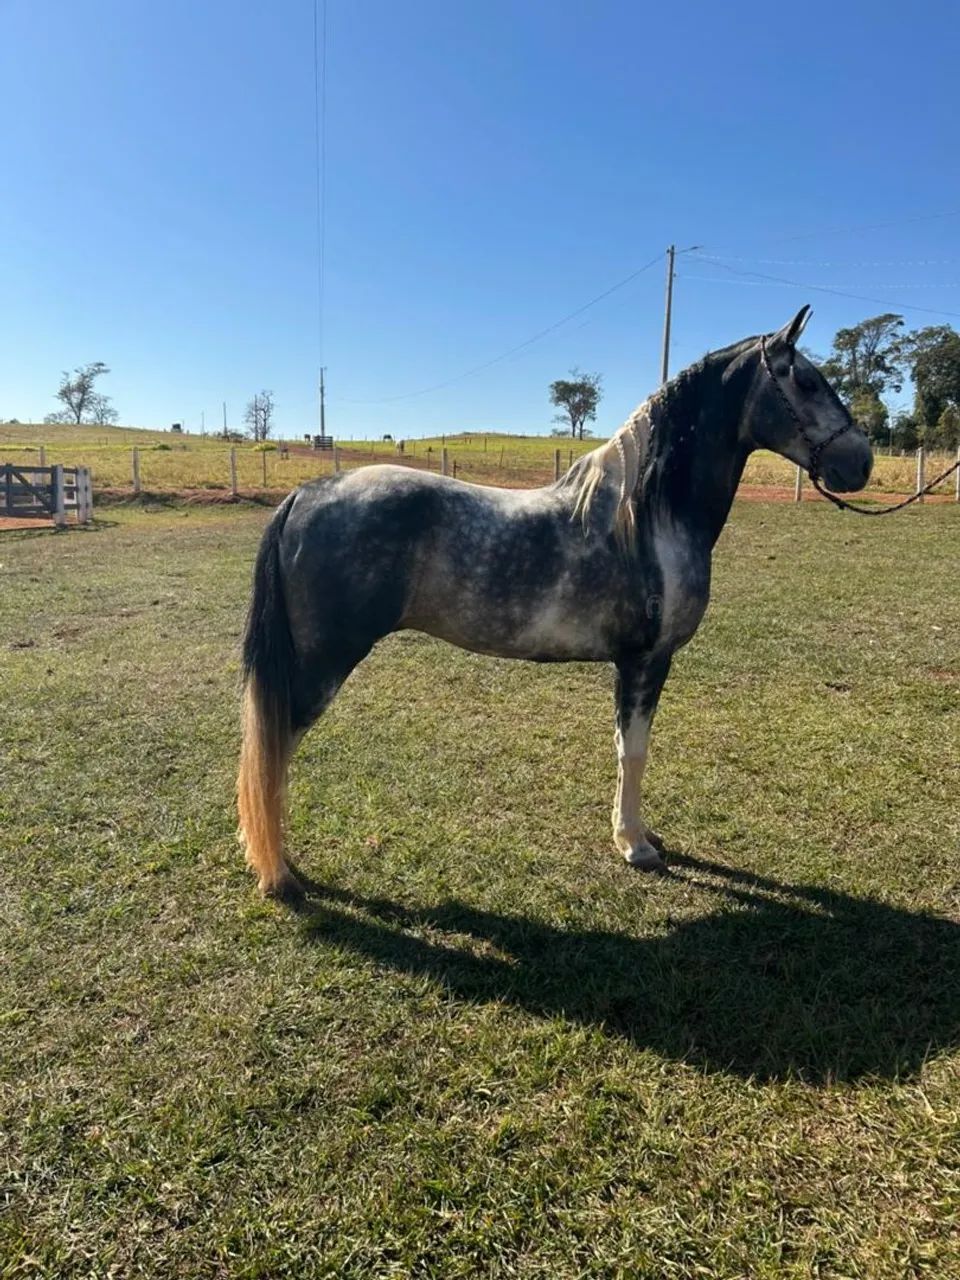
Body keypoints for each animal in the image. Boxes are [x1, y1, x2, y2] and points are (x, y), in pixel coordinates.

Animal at [237, 306, 873, 900]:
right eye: (807, 381)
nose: (861, 461)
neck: (646, 517)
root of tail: (306, 493)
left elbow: (623, 747)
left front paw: (633, 833)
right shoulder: (646, 661)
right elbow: (634, 751)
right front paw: (636, 845)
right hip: (323, 664)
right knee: (274, 751)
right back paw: (279, 875)